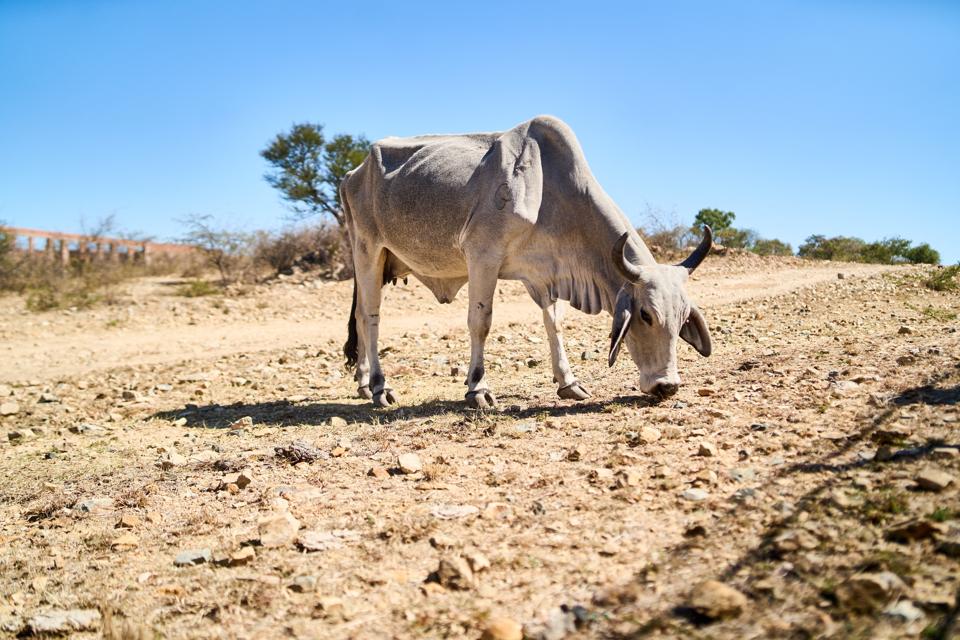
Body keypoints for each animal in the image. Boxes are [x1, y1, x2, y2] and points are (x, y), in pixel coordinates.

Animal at [340, 115, 713, 408]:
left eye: (683, 318)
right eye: (645, 315)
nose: (667, 386)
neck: (553, 191)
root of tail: (352, 173)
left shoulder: (546, 274)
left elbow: (554, 324)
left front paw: (568, 382)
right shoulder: (483, 257)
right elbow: (481, 322)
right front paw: (477, 388)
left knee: (359, 317)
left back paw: (362, 383)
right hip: (368, 250)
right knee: (370, 318)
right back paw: (379, 387)